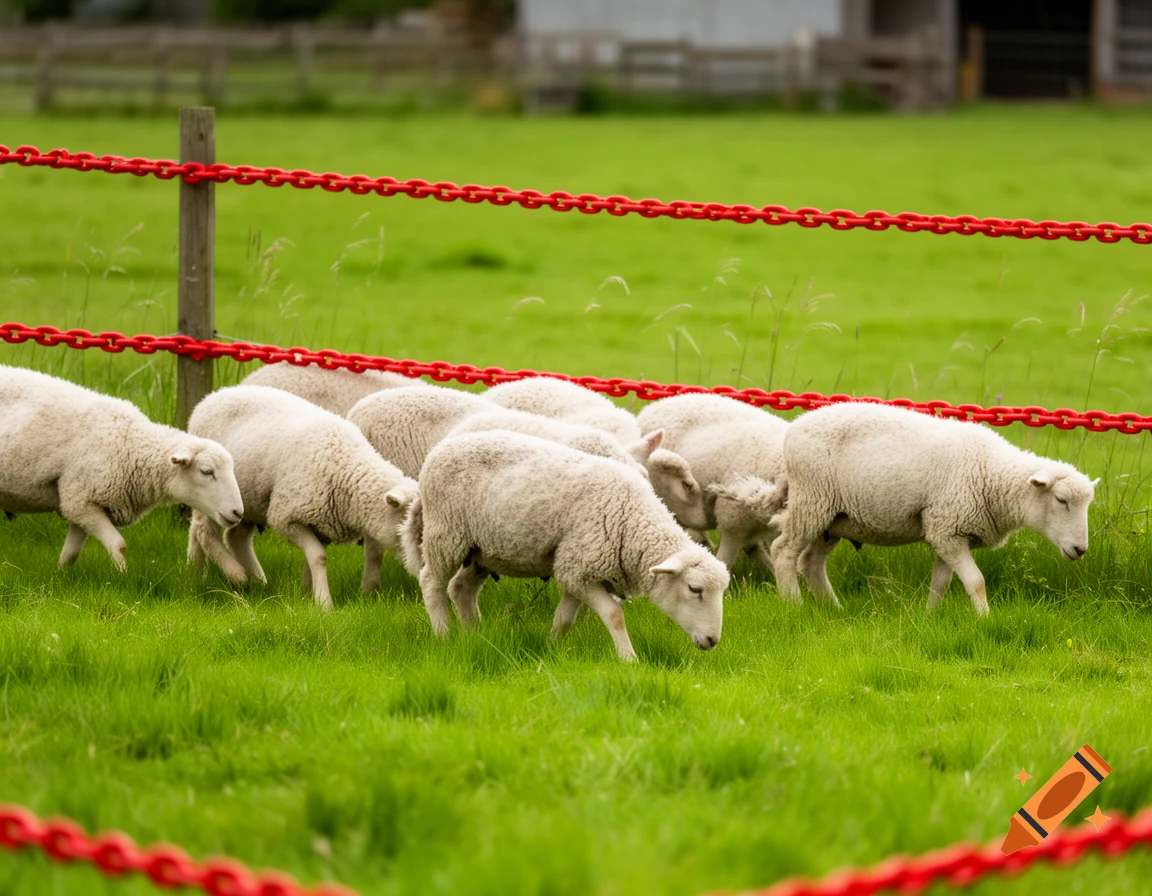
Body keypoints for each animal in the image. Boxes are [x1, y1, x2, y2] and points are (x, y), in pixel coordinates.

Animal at [0, 364, 243, 570]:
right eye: (206, 471)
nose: (238, 513)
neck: (130, 444)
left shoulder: (79, 503)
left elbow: (71, 554)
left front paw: (60, 577)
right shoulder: (80, 503)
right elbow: (119, 545)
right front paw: (122, 579)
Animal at [187, 385, 418, 608]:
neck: (345, 466)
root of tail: (211, 397)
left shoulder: (321, 522)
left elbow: (311, 559)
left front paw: (307, 595)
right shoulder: (286, 517)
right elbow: (319, 557)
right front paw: (324, 604)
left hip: (250, 500)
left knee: (235, 537)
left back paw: (214, 578)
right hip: (214, 498)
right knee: (204, 532)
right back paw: (235, 574)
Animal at [403, 430, 729, 661]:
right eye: (695, 589)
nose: (713, 641)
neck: (630, 518)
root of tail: (439, 450)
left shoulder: (576, 569)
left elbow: (564, 619)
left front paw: (552, 648)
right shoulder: (579, 568)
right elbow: (614, 615)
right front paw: (629, 659)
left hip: (482, 549)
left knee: (461, 588)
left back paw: (475, 635)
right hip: (446, 532)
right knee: (432, 582)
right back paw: (444, 635)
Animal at [768, 402, 1096, 614]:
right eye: (1061, 500)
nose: (1081, 550)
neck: (990, 472)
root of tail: (793, 428)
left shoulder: (949, 532)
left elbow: (941, 583)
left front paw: (930, 617)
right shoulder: (947, 528)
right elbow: (976, 581)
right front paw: (986, 619)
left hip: (834, 517)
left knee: (811, 563)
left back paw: (835, 609)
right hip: (811, 501)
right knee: (783, 551)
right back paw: (794, 606)